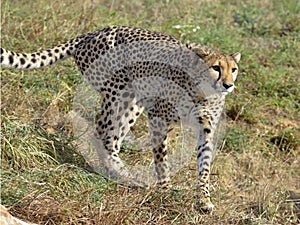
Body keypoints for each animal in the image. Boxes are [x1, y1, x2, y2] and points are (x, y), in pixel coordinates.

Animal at [0, 25, 241, 210]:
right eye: (216, 68)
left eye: (234, 69)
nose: (228, 85)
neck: (204, 92)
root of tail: (93, 32)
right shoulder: (159, 118)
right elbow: (162, 159)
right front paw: (165, 190)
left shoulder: (206, 129)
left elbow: (205, 166)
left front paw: (204, 200)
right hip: (118, 92)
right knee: (101, 131)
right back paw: (121, 172)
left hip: (133, 102)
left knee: (112, 138)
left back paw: (119, 173)